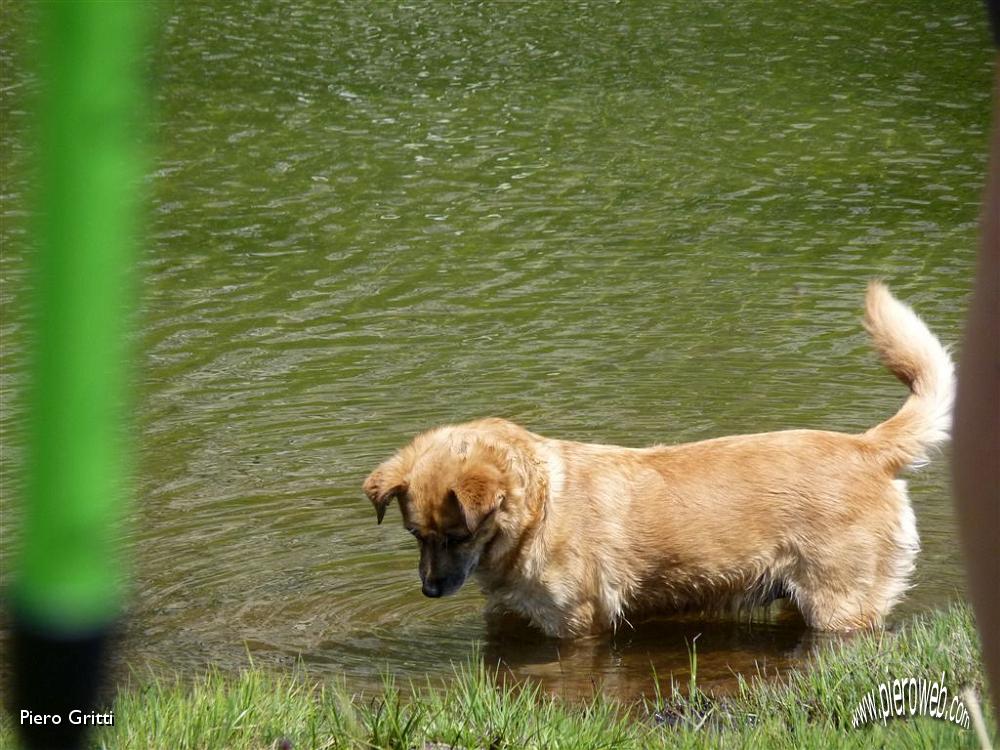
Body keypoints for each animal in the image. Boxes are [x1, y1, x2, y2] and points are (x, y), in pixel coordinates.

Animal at [362, 284, 952, 636]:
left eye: (458, 535)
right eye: (416, 535)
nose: (430, 590)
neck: (539, 512)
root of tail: (866, 447)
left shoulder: (576, 626)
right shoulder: (510, 615)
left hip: (838, 608)